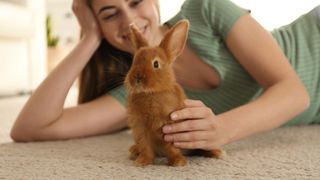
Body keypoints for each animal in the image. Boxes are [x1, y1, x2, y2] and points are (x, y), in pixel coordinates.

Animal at [124, 19, 225, 166]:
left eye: (156, 64)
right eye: (133, 62)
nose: (137, 77)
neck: (151, 93)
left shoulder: (172, 128)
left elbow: (171, 148)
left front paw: (178, 162)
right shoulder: (140, 128)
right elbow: (145, 146)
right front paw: (142, 162)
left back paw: (218, 153)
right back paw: (133, 150)